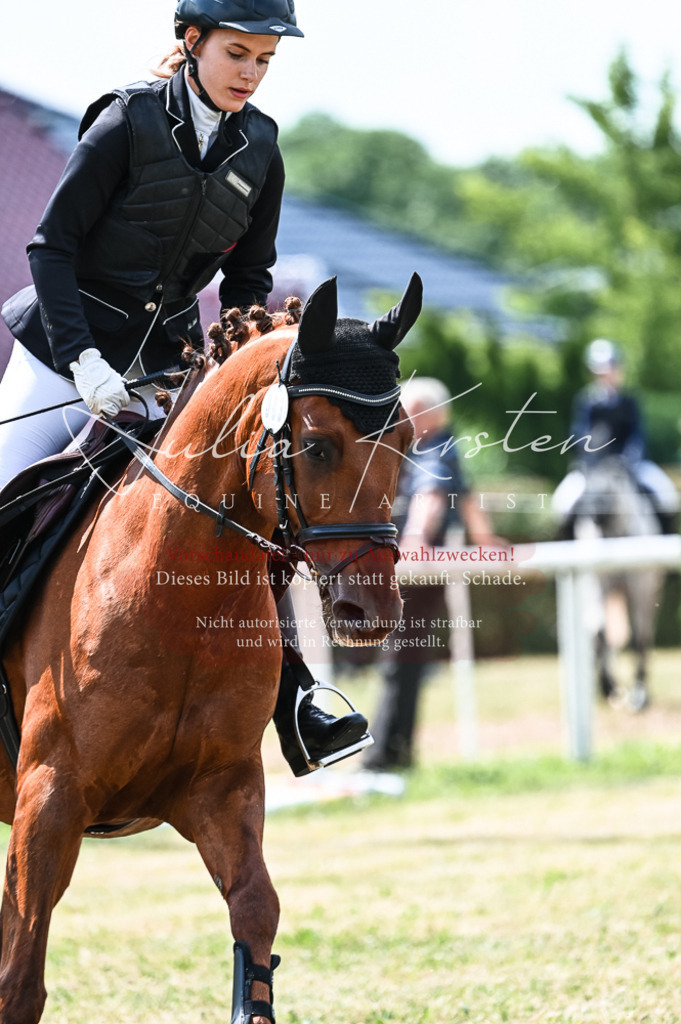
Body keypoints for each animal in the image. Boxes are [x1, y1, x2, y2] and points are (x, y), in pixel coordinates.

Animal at [0, 272, 421, 1024]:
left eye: (403, 438)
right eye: (317, 445)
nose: (370, 613)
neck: (177, 601)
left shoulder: (220, 788)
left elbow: (256, 916)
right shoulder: (49, 796)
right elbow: (19, 977)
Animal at [570, 455, 663, 711]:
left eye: (606, 490)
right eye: (586, 486)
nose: (587, 514)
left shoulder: (642, 591)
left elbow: (640, 639)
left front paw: (640, 696)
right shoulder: (597, 587)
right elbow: (601, 633)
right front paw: (608, 687)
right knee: (597, 636)